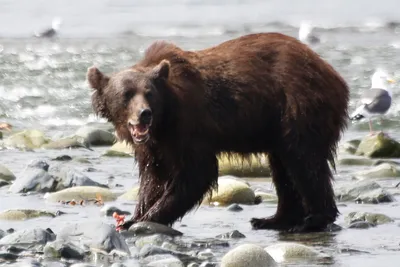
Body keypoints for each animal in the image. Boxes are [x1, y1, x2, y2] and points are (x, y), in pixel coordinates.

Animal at [88, 32, 350, 232]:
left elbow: (196, 172)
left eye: (149, 93)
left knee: (304, 162)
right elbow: (154, 176)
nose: (144, 114)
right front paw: (134, 216)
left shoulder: (189, 127)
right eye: (126, 95)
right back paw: (273, 219)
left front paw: (146, 219)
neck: (164, 120)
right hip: (279, 126)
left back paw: (310, 221)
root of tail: (335, 75)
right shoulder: (154, 145)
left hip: (299, 108)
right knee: (284, 167)